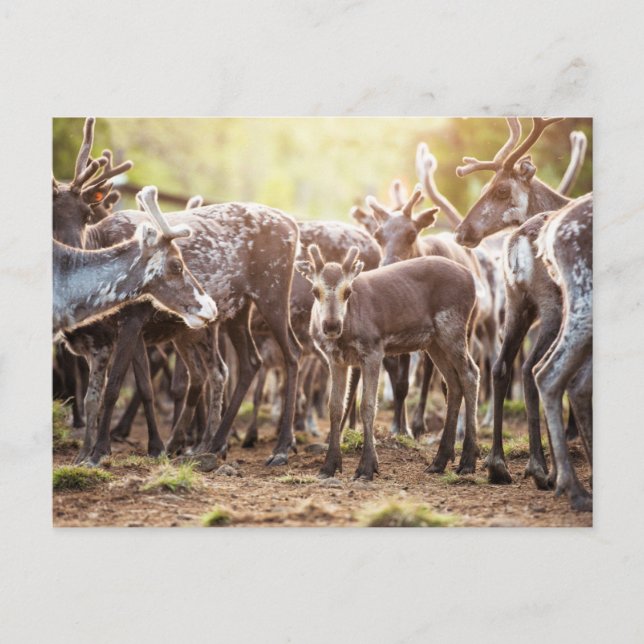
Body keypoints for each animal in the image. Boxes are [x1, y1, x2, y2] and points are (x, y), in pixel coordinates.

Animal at [297, 245, 480, 480]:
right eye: (315, 291)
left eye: (347, 291)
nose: (331, 326)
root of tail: (471, 278)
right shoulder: (335, 359)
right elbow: (335, 406)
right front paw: (329, 465)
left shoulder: (373, 350)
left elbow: (367, 405)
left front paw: (367, 466)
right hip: (434, 342)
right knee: (453, 382)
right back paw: (439, 461)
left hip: (453, 326)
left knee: (470, 374)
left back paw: (467, 460)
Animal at [452, 117, 592, 488]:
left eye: (501, 189)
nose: (461, 232)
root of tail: (516, 245)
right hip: (553, 307)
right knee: (532, 368)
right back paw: (541, 468)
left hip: (519, 305)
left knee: (502, 367)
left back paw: (498, 464)